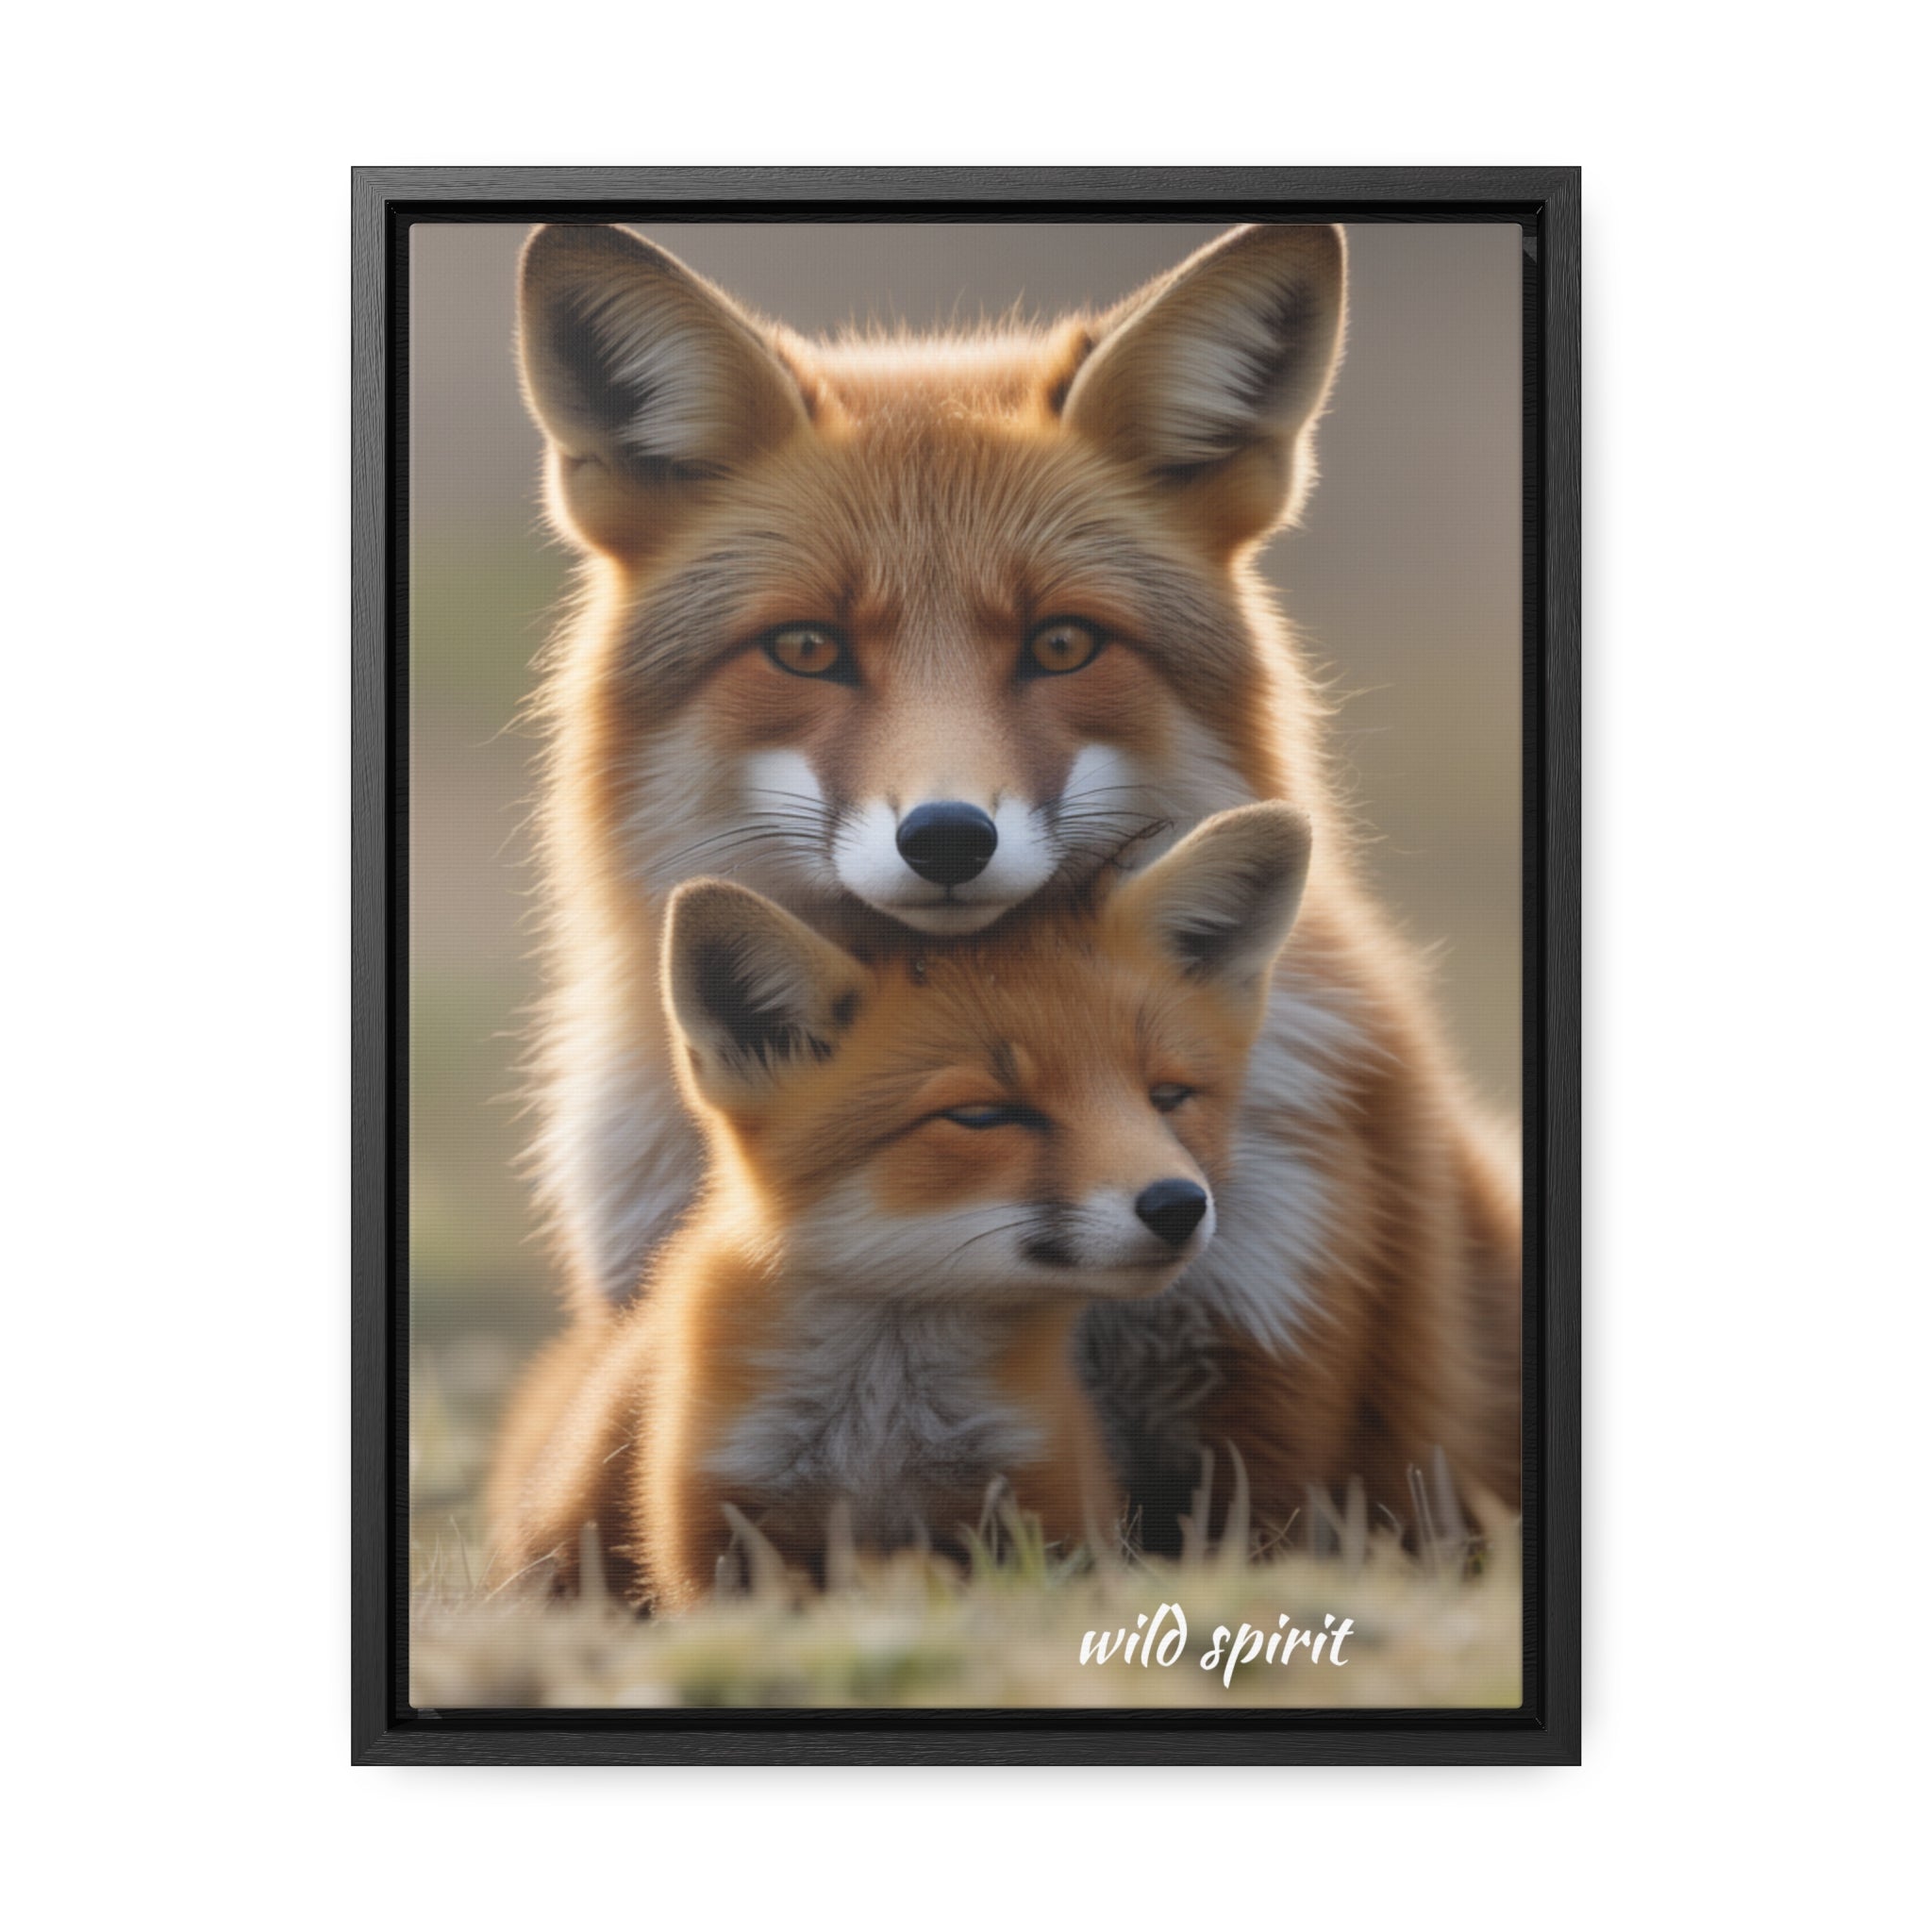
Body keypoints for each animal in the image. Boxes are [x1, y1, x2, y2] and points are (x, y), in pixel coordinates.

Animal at [487, 805, 1314, 1608]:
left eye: (1168, 1097)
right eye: (983, 1115)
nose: (1178, 1205)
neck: (881, 1428)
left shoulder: (1043, 1505)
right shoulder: (718, 1529)